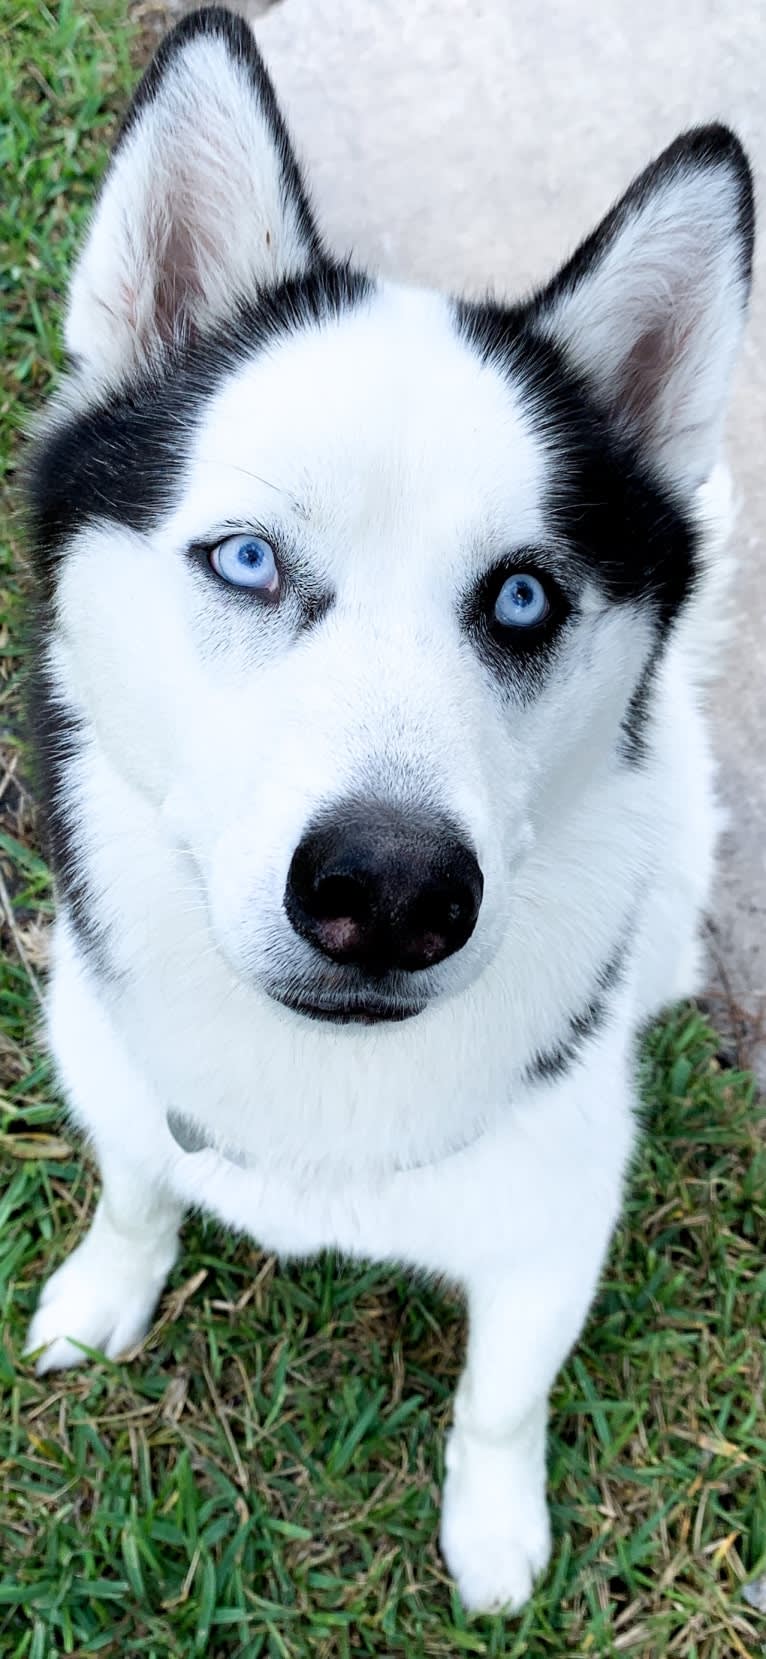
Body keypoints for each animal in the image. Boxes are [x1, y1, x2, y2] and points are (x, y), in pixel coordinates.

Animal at [25, 6, 752, 1612]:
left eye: (525, 596)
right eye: (244, 559)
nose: (392, 888)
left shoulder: (555, 1225)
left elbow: (498, 1401)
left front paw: (493, 1537)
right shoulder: (109, 1065)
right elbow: (136, 1190)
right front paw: (104, 1295)